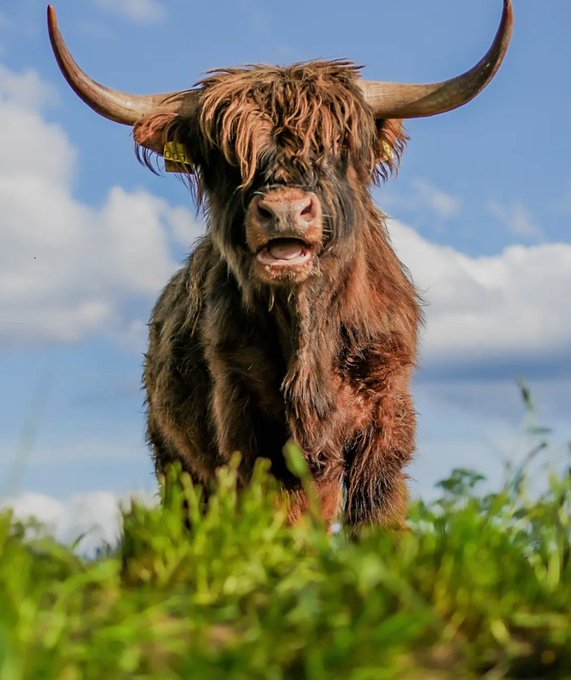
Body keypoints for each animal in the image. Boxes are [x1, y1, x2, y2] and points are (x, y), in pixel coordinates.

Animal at [47, 2, 513, 529]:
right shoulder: (250, 426)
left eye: (338, 149)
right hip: (175, 463)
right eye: (228, 159)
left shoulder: (384, 421)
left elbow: (376, 519)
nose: (285, 209)